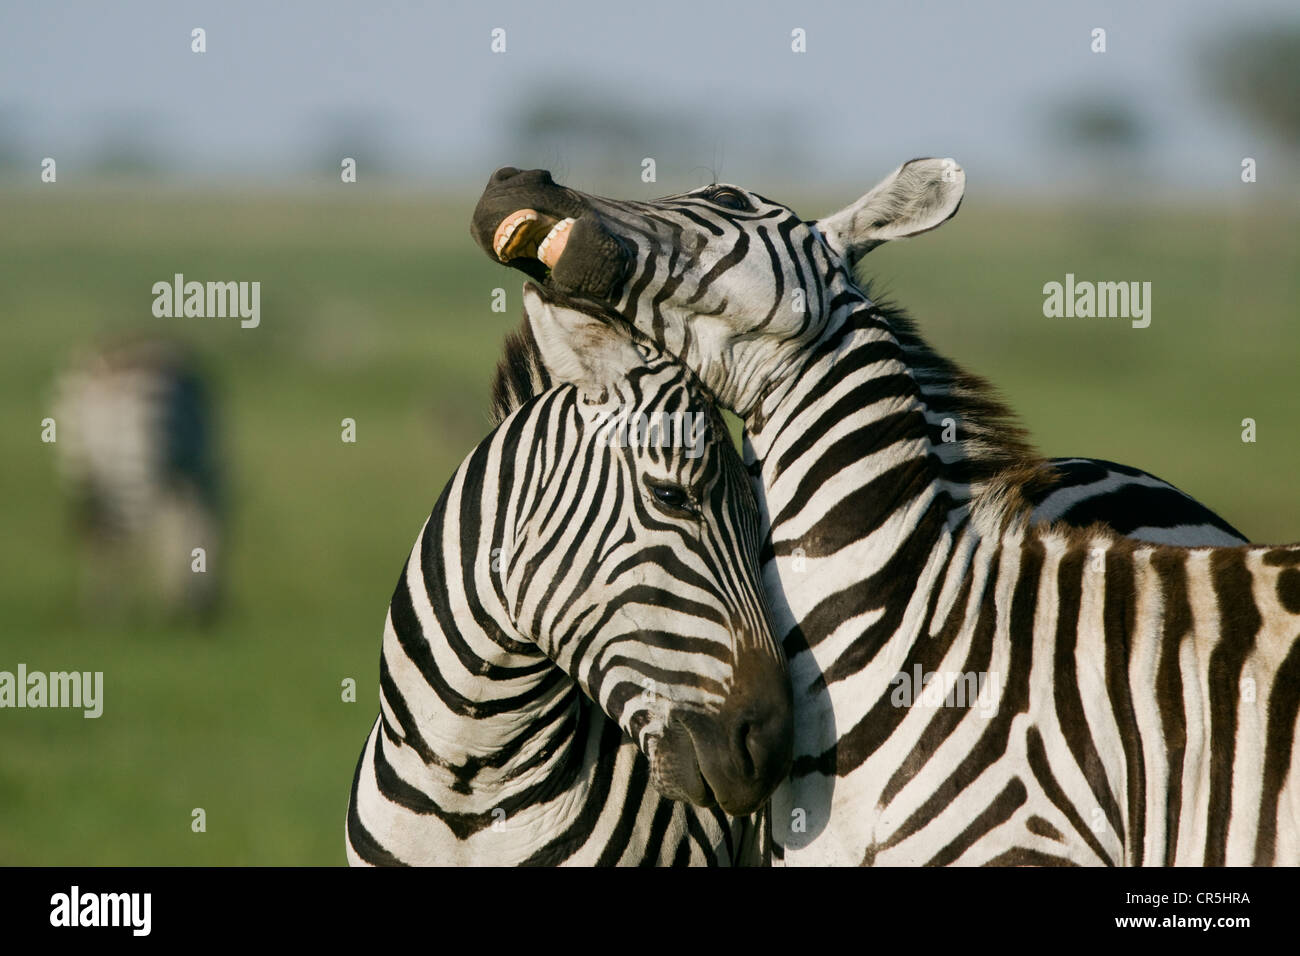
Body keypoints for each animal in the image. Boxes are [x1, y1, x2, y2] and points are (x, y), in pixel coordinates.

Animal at [51, 337, 223, 621]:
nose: (212, 610)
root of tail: (103, 372)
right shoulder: (197, 467)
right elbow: (187, 528)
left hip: (78, 460)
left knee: (94, 530)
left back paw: (96, 607)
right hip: (134, 462)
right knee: (123, 534)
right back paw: (117, 613)